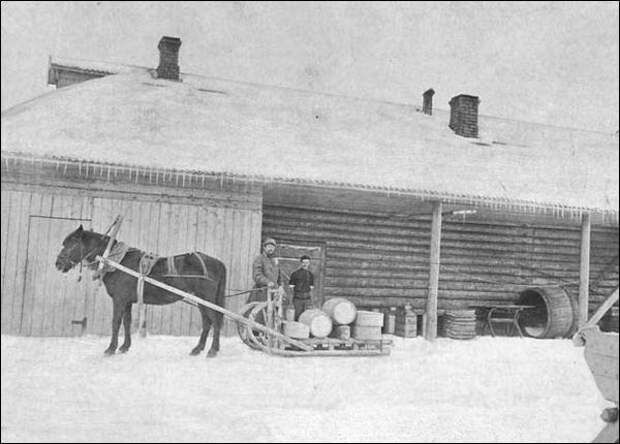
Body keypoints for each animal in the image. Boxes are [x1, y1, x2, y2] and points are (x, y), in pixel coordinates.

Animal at [54, 225, 226, 358]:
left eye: (71, 244)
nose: (58, 264)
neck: (116, 262)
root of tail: (217, 262)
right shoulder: (127, 301)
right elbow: (127, 322)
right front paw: (124, 347)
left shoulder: (119, 299)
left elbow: (116, 322)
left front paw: (111, 348)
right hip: (201, 300)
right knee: (207, 322)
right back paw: (198, 349)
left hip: (207, 298)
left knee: (215, 321)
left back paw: (212, 350)